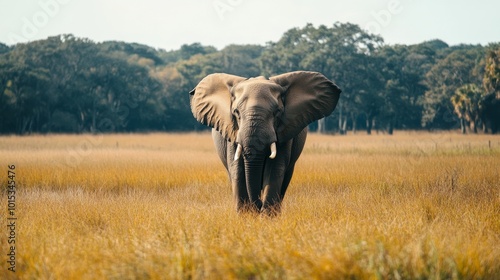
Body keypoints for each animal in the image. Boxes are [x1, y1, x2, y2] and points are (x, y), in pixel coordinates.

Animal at [189, 70, 342, 214]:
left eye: (277, 112)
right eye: (236, 112)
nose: (257, 206)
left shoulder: (285, 133)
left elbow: (275, 170)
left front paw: (266, 217)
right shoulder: (231, 133)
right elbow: (237, 170)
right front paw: (246, 216)